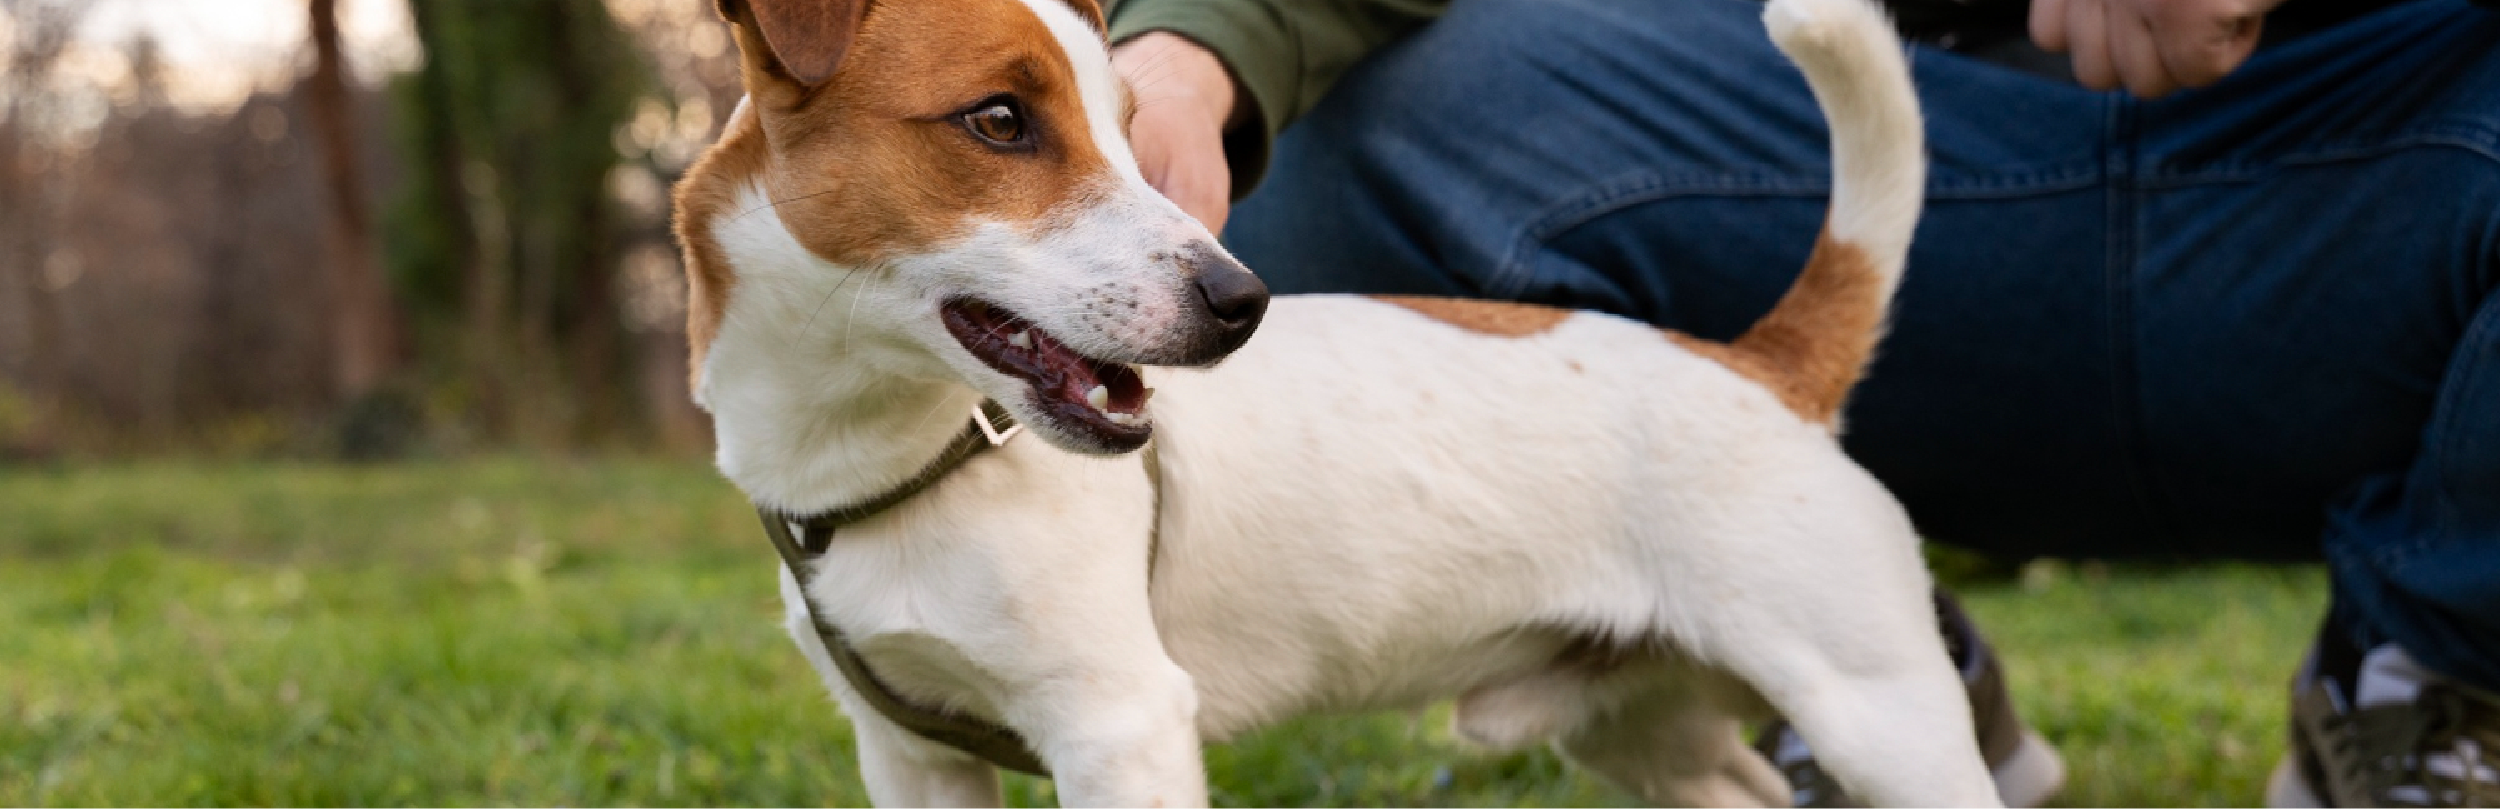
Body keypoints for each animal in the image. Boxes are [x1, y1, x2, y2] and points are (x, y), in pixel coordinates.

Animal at [675, 0, 2000, 804]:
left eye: (1128, 131)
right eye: (999, 120)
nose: (1240, 298)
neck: (909, 454)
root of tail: (1758, 362)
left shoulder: (1119, 728)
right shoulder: (910, 755)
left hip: (1881, 715)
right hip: (1643, 726)